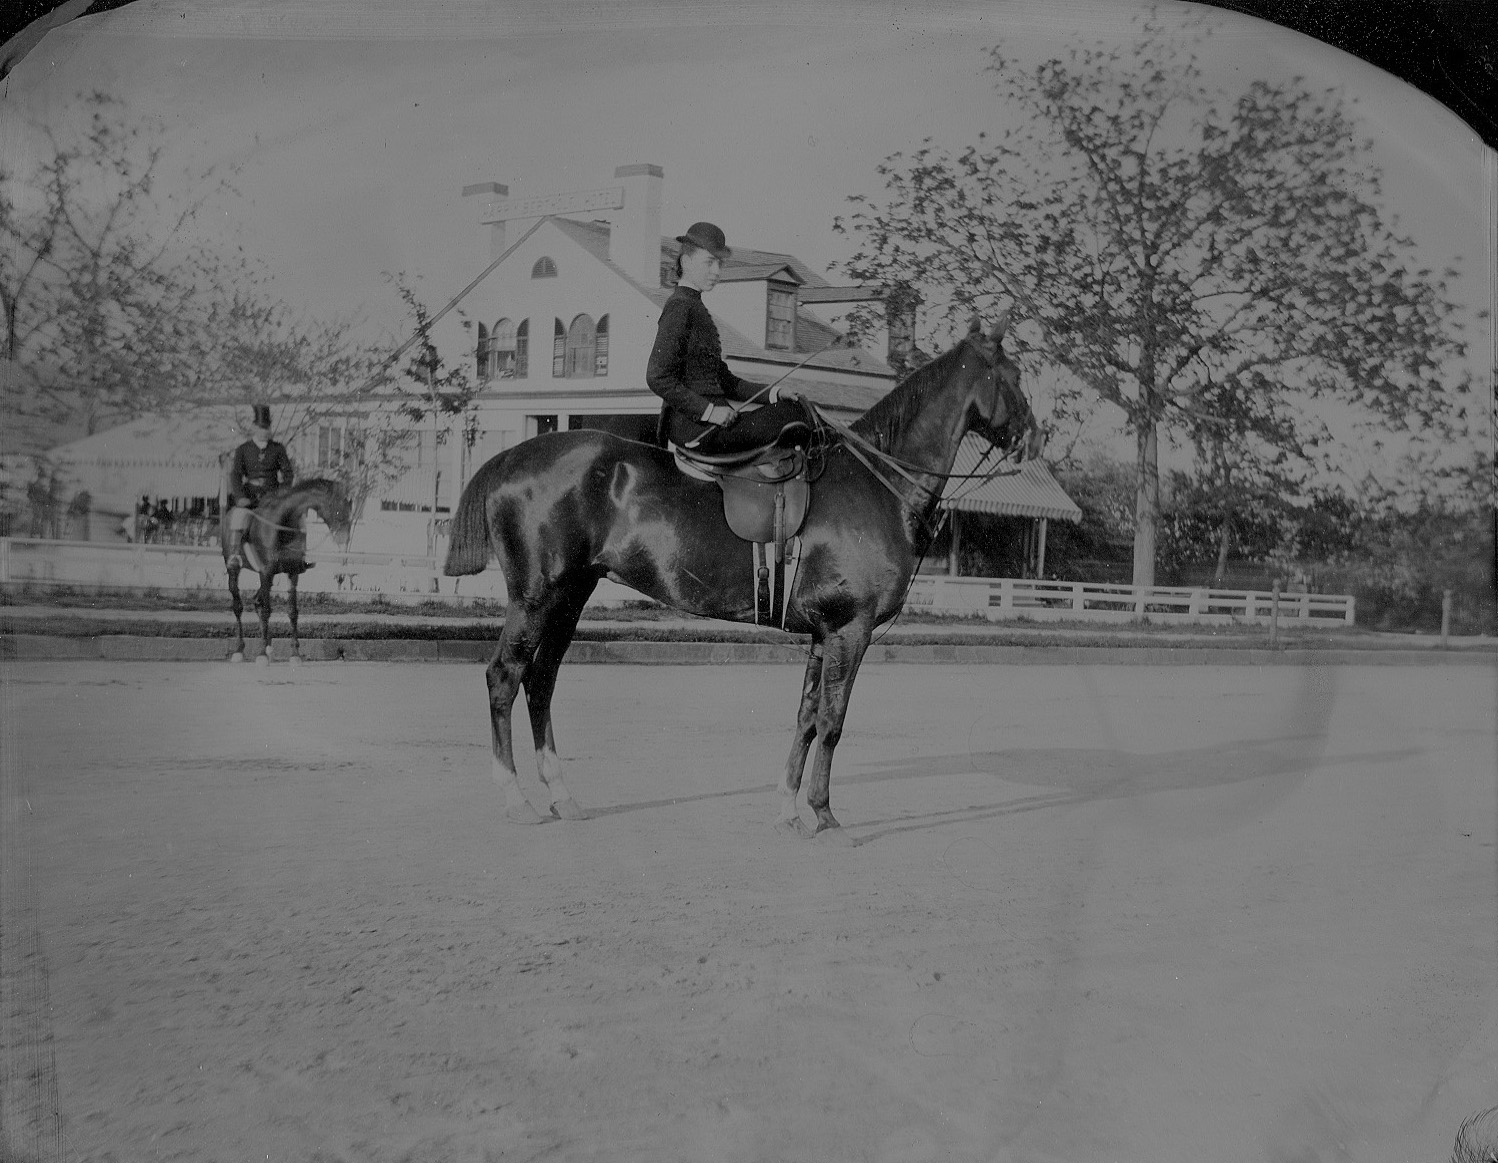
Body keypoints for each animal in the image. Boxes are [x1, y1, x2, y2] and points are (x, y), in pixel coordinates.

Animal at [218, 476, 352, 662]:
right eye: (338, 510)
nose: (344, 540)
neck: (282, 524)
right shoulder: (265, 572)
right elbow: (267, 611)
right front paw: (261, 655)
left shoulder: (292, 573)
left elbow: (292, 612)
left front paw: (295, 654)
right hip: (235, 570)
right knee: (239, 606)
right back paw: (240, 650)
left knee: (257, 601)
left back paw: (268, 647)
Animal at [437, 313, 1036, 833]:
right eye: (1013, 377)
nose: (1033, 437)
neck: (875, 482)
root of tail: (512, 456)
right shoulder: (851, 629)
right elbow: (833, 723)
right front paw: (824, 814)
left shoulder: (823, 634)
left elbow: (807, 717)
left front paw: (790, 808)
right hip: (535, 597)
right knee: (505, 677)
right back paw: (516, 798)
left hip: (571, 595)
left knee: (541, 681)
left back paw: (562, 795)